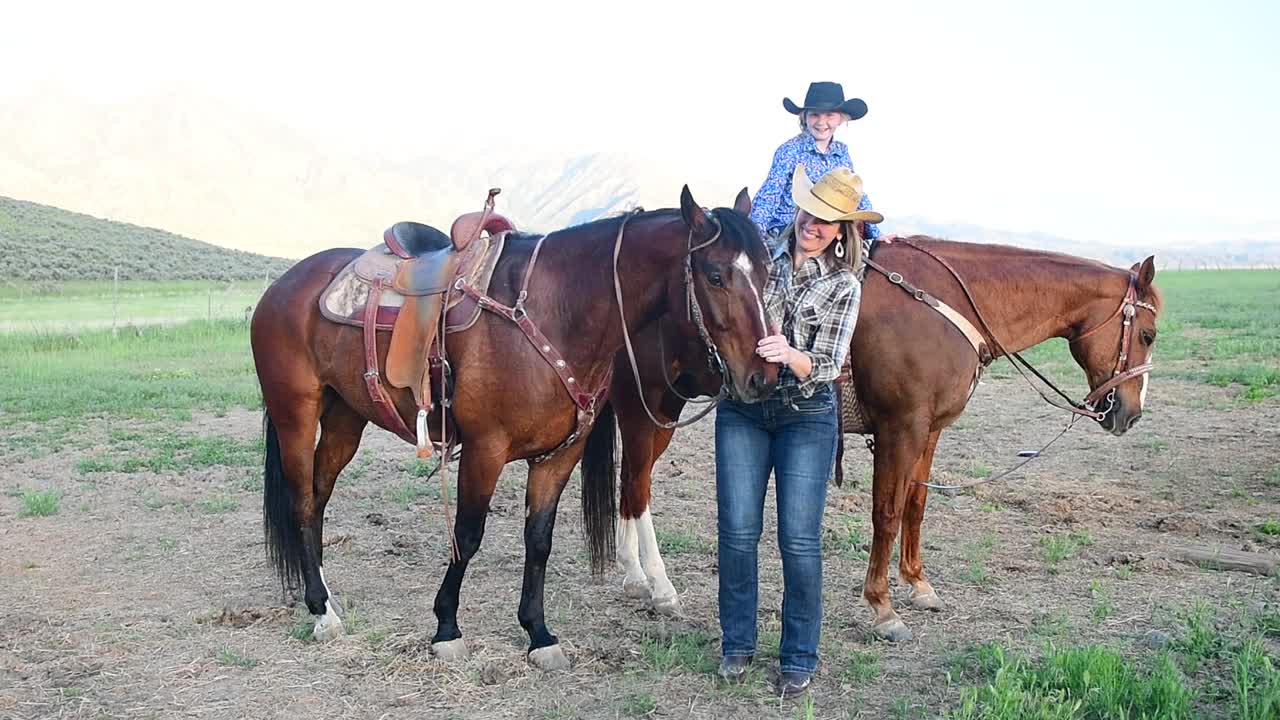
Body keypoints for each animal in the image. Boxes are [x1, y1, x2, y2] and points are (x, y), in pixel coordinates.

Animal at [244, 185, 773, 666]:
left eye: (768, 272)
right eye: (716, 275)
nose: (764, 375)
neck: (555, 309)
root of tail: (284, 284)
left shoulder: (561, 454)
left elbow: (539, 539)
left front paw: (538, 633)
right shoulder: (485, 449)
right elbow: (468, 534)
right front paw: (447, 628)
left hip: (344, 418)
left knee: (318, 498)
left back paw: (323, 596)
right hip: (296, 414)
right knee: (301, 502)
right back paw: (322, 612)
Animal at [586, 235, 1167, 638]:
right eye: (1147, 334)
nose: (1130, 413)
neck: (950, 304)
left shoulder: (928, 431)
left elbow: (915, 505)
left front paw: (919, 584)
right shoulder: (899, 429)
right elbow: (885, 512)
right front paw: (882, 605)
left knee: (630, 487)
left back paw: (634, 577)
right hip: (647, 408)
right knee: (636, 487)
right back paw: (656, 586)